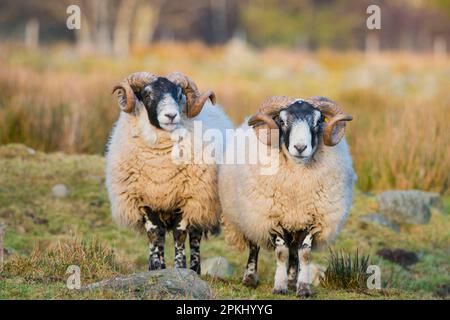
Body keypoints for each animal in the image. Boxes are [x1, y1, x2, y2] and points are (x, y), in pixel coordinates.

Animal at [105, 71, 232, 274]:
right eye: (147, 94)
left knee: (194, 238)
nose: (171, 115)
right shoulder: (144, 201)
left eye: (179, 95)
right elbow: (155, 235)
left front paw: (180, 268)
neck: (160, 167)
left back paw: (194, 269)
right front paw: (157, 268)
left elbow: (180, 235)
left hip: (202, 205)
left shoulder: (188, 198)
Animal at [220, 95, 356, 298]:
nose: (300, 147)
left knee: (294, 252)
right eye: (282, 121)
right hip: (251, 216)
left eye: (318, 121)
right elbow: (281, 253)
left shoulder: (311, 219)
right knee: (254, 247)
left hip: (293, 224)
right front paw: (279, 287)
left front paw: (303, 289)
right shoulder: (274, 218)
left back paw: (292, 282)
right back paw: (250, 279)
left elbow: (304, 255)